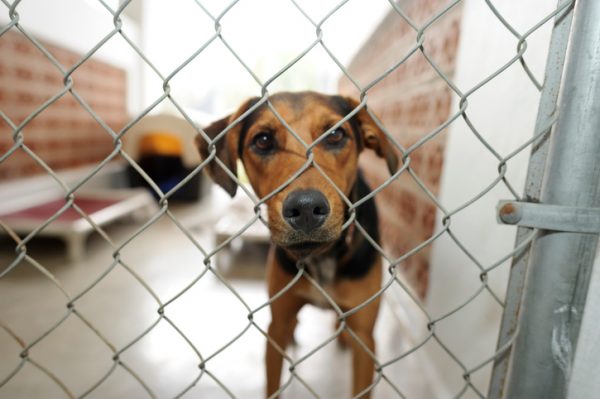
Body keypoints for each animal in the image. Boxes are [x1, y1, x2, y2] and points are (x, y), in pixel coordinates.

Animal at [197, 92, 398, 398]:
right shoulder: (276, 327)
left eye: (335, 135)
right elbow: (273, 380)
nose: (305, 209)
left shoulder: (365, 338)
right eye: (263, 140)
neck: (322, 256)